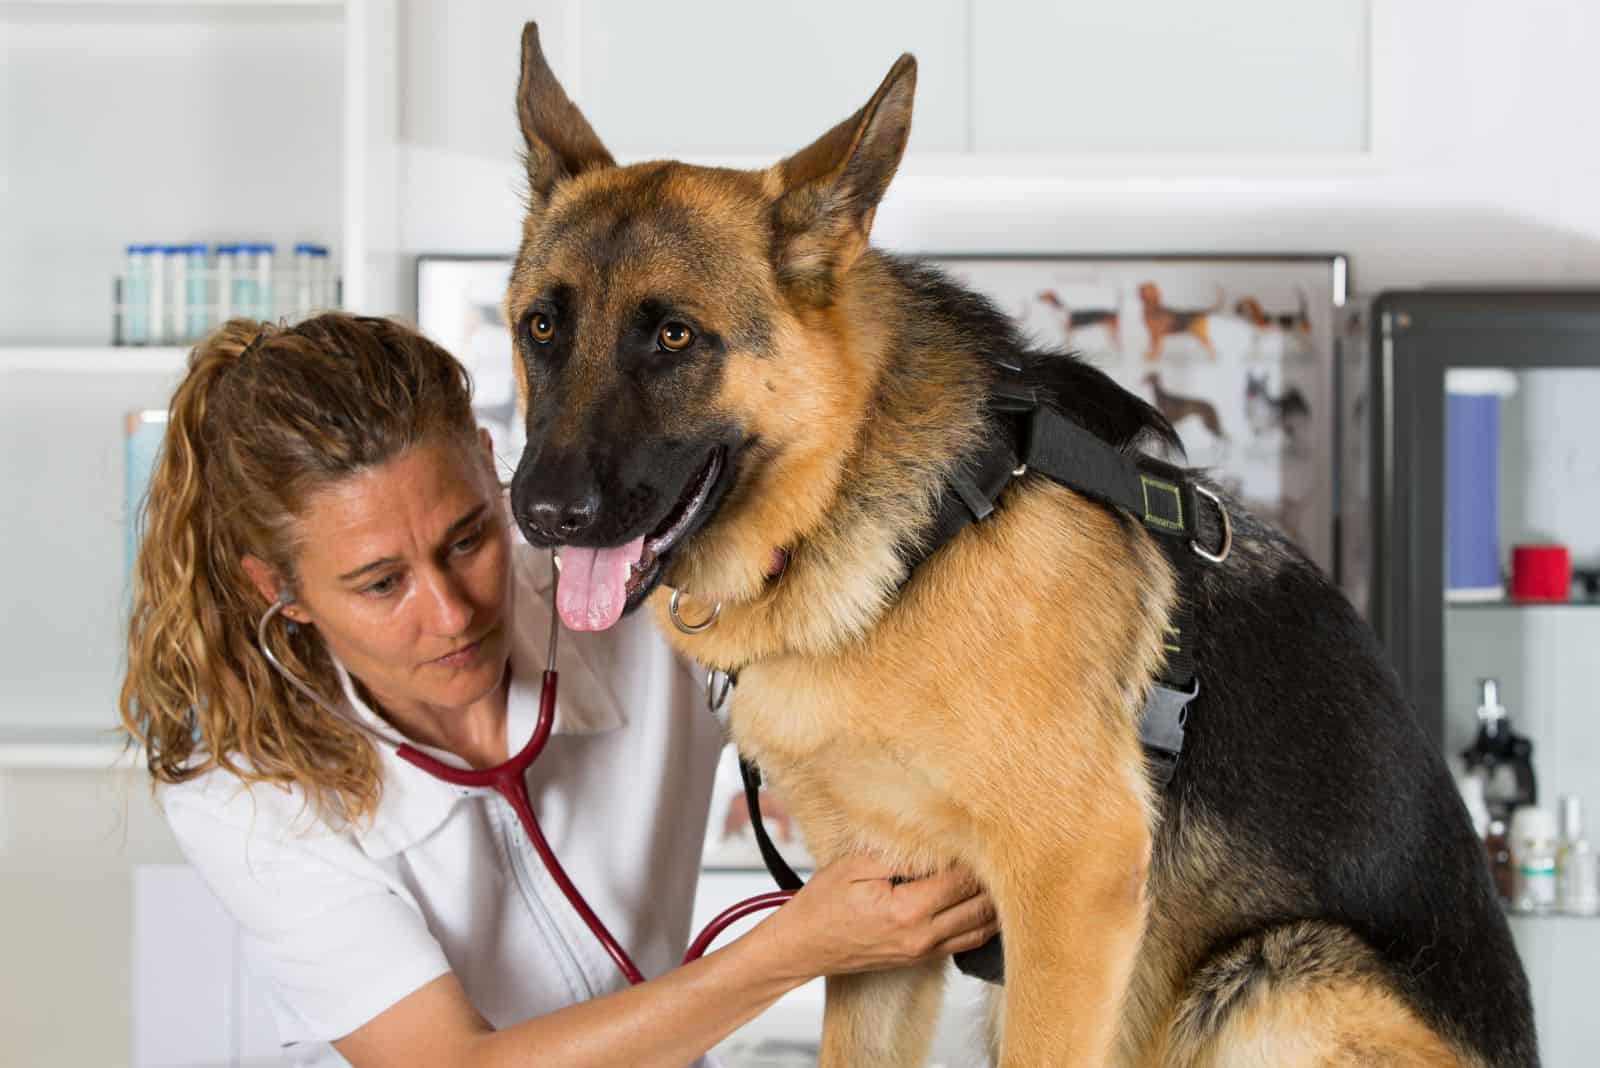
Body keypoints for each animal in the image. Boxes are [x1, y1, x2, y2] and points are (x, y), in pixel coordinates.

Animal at [505, 24, 1529, 1068]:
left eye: (674, 337)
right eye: (541, 326)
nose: (540, 514)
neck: (906, 536)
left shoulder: (1073, 887)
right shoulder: (882, 916)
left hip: (1278, 980)